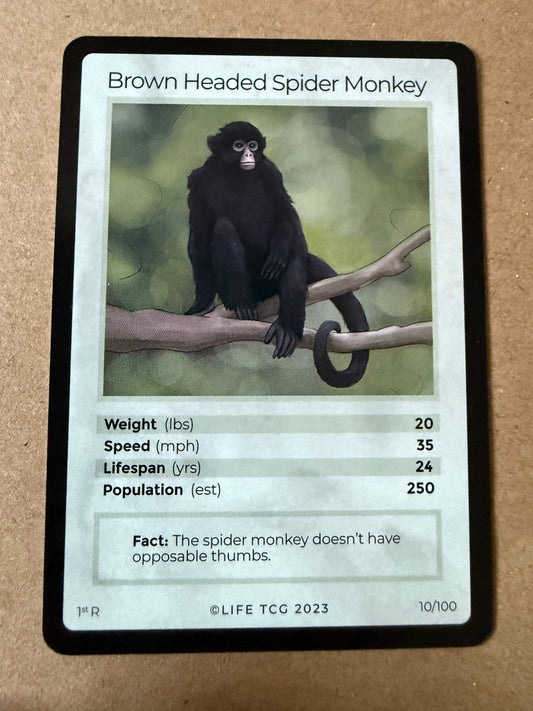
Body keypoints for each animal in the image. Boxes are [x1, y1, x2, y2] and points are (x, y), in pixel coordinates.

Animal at [185, 121, 369, 387]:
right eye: (238, 145)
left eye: (253, 145)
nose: (249, 155)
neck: (235, 175)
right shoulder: (198, 181)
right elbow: (198, 238)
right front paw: (200, 305)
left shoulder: (271, 171)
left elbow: (287, 215)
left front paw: (280, 250)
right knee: (223, 227)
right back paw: (243, 303)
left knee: (294, 252)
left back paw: (288, 329)